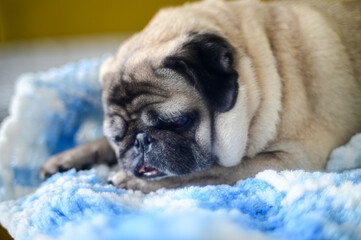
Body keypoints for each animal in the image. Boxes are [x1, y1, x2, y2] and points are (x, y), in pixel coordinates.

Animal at [41, 0, 360, 191]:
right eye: (117, 138)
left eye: (179, 122)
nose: (141, 141)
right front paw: (71, 157)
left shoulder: (289, 159)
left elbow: (206, 172)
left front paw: (131, 181)